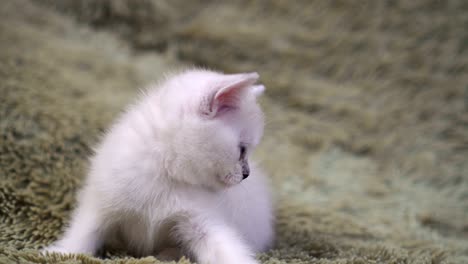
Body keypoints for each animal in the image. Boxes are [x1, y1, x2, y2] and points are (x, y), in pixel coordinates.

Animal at [44, 69, 274, 262]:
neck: (166, 172)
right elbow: (86, 231)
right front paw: (63, 252)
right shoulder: (102, 200)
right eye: (242, 150)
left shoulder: (202, 220)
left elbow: (223, 248)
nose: (246, 174)